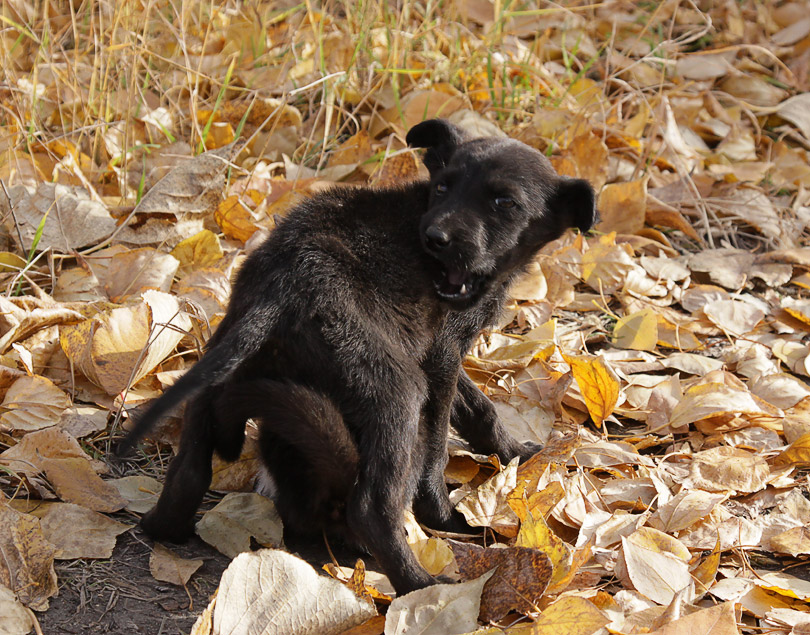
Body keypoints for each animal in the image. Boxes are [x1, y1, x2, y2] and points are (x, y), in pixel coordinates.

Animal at [123, 120, 596, 596]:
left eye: (505, 203)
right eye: (442, 186)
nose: (435, 239)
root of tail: (281, 285)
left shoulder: (433, 353)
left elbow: (479, 407)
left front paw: (516, 452)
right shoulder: (442, 356)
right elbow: (439, 443)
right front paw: (444, 515)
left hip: (226, 359)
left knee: (191, 465)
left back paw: (164, 526)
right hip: (397, 390)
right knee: (371, 507)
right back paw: (421, 584)